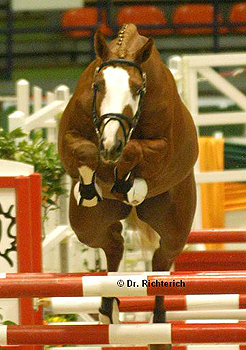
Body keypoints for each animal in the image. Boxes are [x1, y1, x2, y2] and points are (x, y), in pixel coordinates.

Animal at [57, 23, 198, 348]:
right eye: (98, 86)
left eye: (137, 89)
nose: (111, 145)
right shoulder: (70, 137)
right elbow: (85, 152)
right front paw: (90, 185)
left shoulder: (162, 147)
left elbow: (134, 151)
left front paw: (130, 183)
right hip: (89, 225)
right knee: (113, 244)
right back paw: (108, 310)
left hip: (174, 230)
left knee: (160, 262)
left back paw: (158, 325)